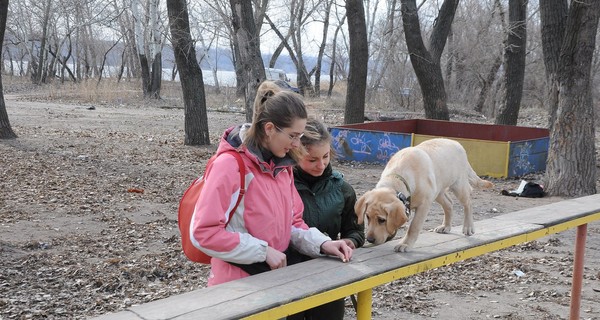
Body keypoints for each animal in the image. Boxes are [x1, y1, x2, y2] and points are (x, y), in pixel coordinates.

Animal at [356, 139, 492, 251]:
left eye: (382, 220)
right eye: (367, 216)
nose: (370, 240)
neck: (398, 178)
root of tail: (458, 144)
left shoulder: (424, 204)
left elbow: (414, 226)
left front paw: (405, 244)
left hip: (458, 185)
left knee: (468, 201)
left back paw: (468, 227)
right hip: (438, 191)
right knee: (449, 203)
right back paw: (445, 226)